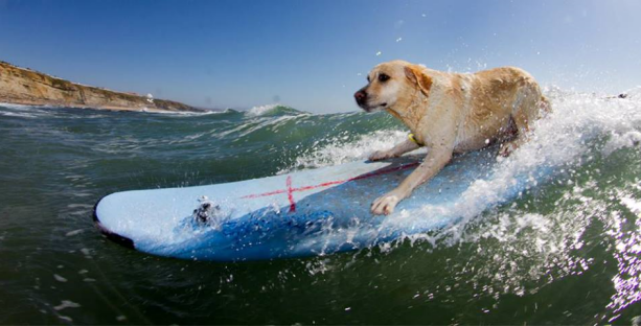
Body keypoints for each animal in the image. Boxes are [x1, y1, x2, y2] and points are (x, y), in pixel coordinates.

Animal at [352, 59, 548, 215]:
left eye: (384, 77)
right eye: (368, 79)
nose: (357, 96)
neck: (421, 101)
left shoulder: (440, 153)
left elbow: (412, 177)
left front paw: (391, 196)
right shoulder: (419, 135)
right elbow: (399, 146)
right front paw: (382, 152)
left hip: (520, 107)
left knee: (528, 133)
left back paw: (511, 144)